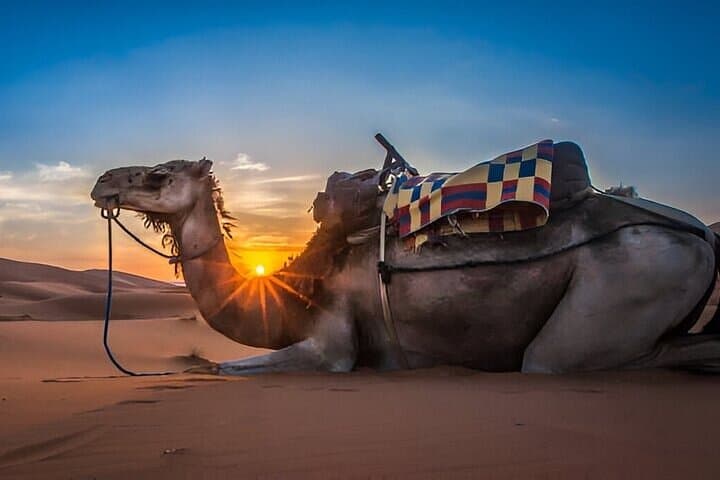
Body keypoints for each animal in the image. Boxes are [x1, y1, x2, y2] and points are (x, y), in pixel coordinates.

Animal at [90, 141, 720, 375]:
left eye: (158, 174)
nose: (101, 182)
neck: (304, 280)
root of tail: (701, 235)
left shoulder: (334, 342)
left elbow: (219, 367)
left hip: (626, 282)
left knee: (557, 360)